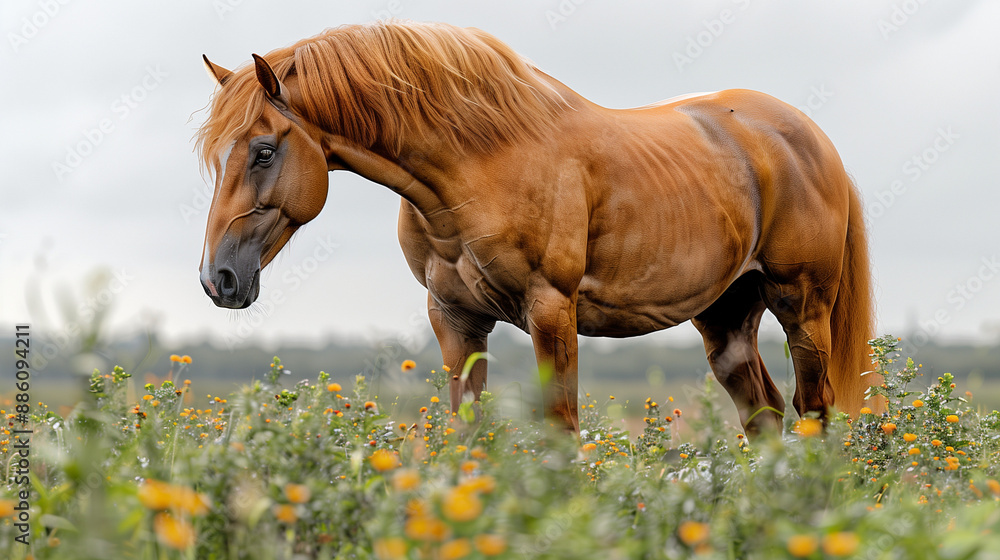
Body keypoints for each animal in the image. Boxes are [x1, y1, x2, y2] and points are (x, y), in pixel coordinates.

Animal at [196, 21, 881, 435]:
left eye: (263, 151)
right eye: (218, 157)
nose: (217, 279)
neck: (479, 163)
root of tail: (809, 138)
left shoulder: (551, 311)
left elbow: (561, 432)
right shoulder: (455, 319)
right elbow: (468, 433)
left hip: (802, 306)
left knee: (814, 409)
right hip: (726, 315)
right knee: (765, 414)